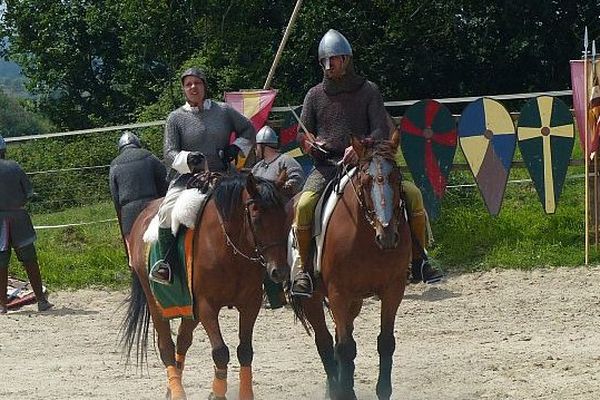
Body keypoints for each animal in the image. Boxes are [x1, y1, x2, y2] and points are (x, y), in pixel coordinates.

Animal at [120, 173, 290, 400]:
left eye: (284, 216)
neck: (229, 250)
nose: (279, 271)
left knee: (183, 340)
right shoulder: (206, 306)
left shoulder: (250, 304)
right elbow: (220, 352)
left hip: (188, 307)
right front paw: (218, 393)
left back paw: (172, 387)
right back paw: (177, 391)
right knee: (166, 347)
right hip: (157, 305)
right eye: (256, 217)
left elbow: (245, 351)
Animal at [292, 130, 412, 398]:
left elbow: (385, 342)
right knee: (326, 343)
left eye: (396, 177)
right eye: (366, 182)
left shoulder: (393, 289)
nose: (387, 234)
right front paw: (344, 391)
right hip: (315, 299)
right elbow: (345, 348)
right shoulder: (339, 292)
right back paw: (335, 386)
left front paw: (383, 390)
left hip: (354, 301)